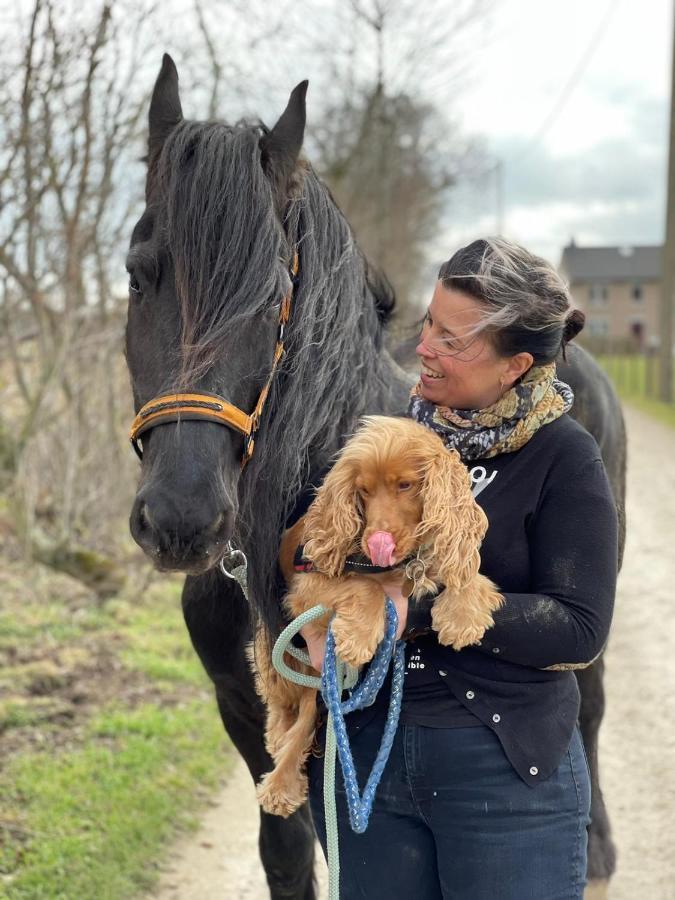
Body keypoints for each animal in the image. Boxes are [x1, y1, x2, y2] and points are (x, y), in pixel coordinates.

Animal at [254, 414, 502, 816]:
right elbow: (364, 586)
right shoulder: (308, 584)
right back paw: (280, 779)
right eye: (364, 491)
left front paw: (462, 616)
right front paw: (358, 636)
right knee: (292, 706)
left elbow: (467, 575)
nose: (375, 542)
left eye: (406, 485)